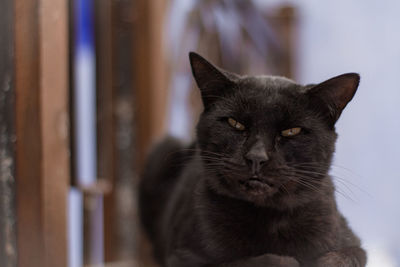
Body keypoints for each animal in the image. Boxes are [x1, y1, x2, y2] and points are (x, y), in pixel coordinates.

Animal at [139, 52, 368, 267]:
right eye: (235, 123)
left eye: (291, 131)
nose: (257, 157)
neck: (269, 218)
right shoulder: (184, 257)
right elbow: (252, 261)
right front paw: (287, 260)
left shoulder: (353, 243)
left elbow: (341, 257)